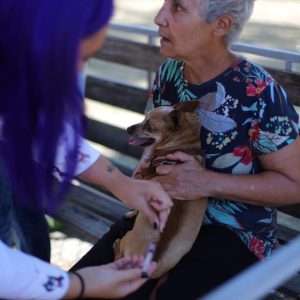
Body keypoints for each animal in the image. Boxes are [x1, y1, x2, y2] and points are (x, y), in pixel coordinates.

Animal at [113, 101, 207, 278]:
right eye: (144, 117)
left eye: (148, 126)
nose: (128, 128)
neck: (183, 145)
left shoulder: (144, 181)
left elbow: (137, 205)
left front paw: (130, 213)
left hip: (128, 237)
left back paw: (115, 244)